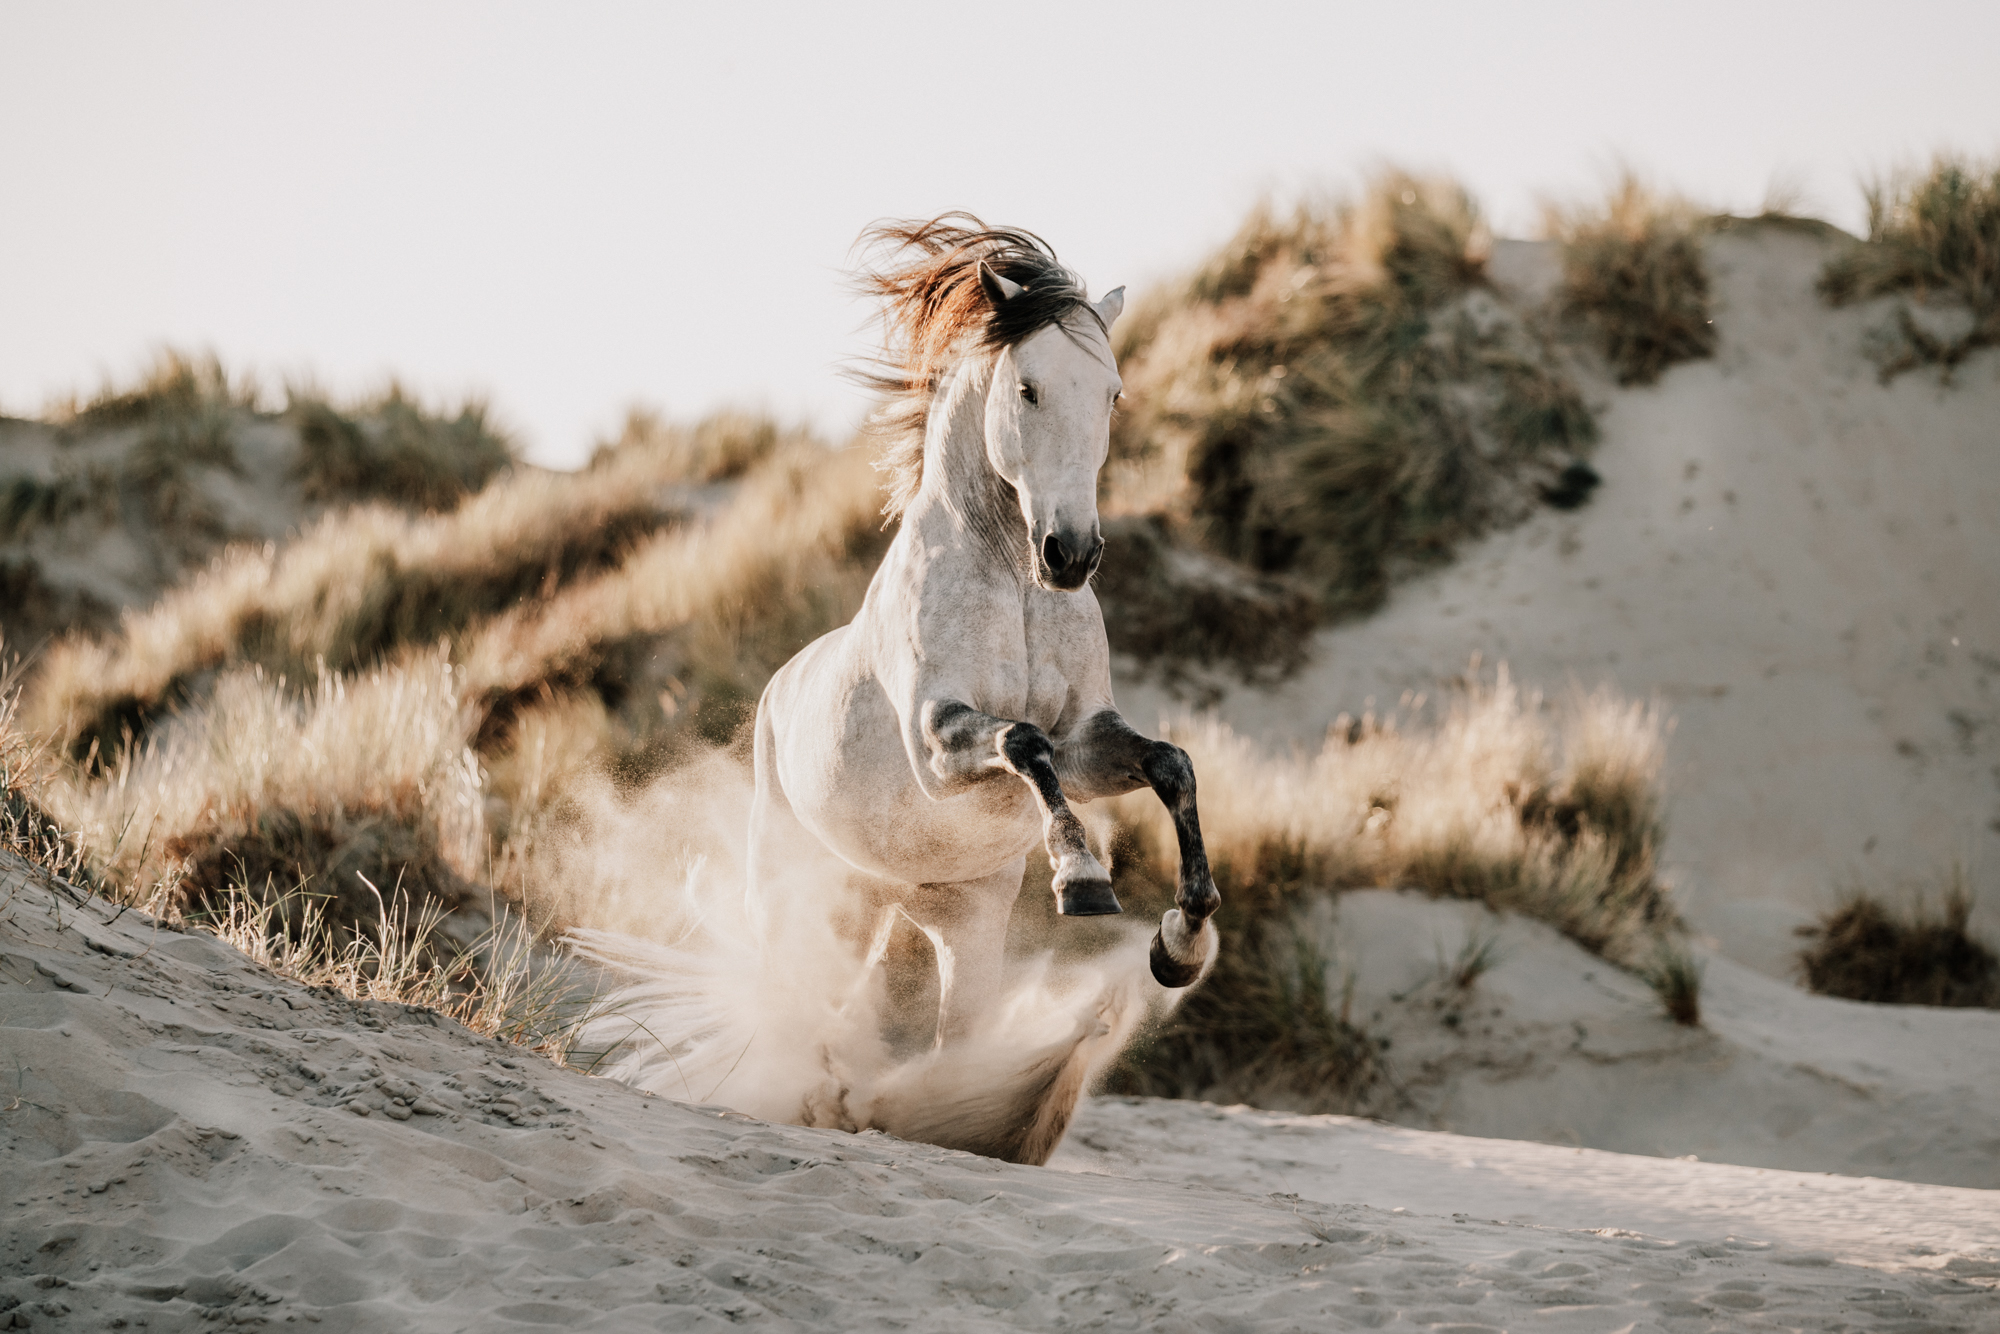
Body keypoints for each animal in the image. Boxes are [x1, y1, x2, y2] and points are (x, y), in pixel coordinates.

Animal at [748, 214, 1216, 1160]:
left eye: (1110, 393)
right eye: (1029, 389)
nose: (1071, 555)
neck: (1013, 583)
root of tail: (776, 691)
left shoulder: (1091, 741)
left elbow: (1170, 764)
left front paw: (1180, 944)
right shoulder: (941, 744)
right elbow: (1020, 740)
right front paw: (1082, 878)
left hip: (942, 927)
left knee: (932, 1029)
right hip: (789, 889)